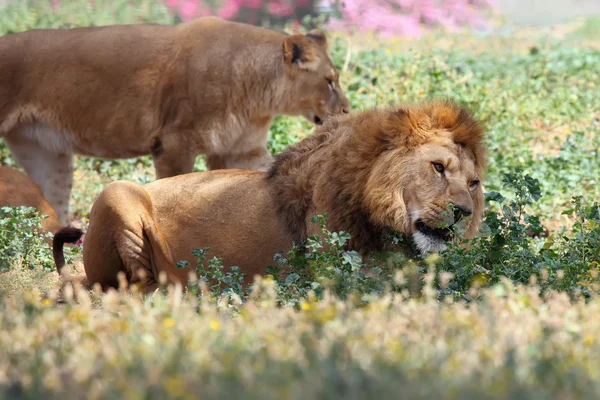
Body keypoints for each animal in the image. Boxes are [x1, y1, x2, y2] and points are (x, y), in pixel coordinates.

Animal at [0, 15, 350, 225]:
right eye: (329, 81)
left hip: (46, 153)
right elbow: (172, 189)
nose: (347, 110)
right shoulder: (174, 142)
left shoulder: (241, 149)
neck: (258, 96)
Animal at [54, 100, 486, 294]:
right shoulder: (342, 275)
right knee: (129, 285)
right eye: (438, 167)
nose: (463, 212)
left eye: (474, 183)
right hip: (117, 193)